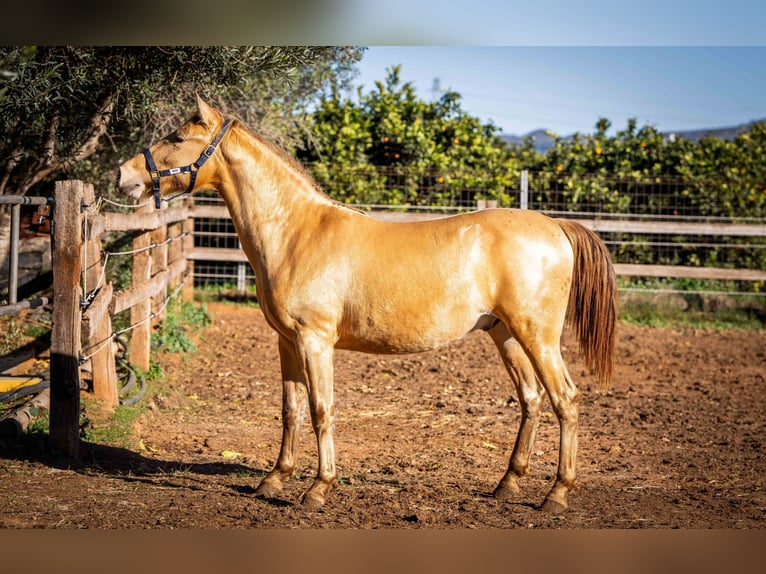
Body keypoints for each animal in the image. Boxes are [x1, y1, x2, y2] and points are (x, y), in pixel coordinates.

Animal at [117, 97, 616, 516]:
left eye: (177, 137)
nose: (123, 176)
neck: (297, 231)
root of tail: (555, 225)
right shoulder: (286, 342)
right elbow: (291, 410)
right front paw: (274, 480)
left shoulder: (315, 341)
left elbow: (321, 409)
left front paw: (318, 489)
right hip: (505, 333)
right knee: (532, 399)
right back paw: (507, 485)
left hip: (538, 336)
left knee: (566, 400)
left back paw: (557, 494)